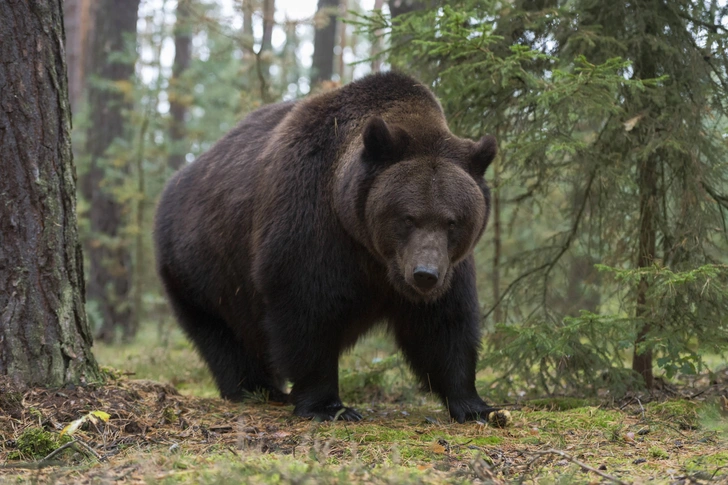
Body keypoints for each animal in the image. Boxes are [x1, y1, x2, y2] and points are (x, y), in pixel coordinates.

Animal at [156, 70, 498, 422]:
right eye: (408, 217)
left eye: (452, 221)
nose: (425, 274)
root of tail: (175, 182)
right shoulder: (310, 221)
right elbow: (307, 310)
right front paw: (328, 406)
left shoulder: (449, 266)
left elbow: (444, 325)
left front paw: (476, 406)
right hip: (201, 268)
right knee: (222, 335)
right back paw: (255, 388)